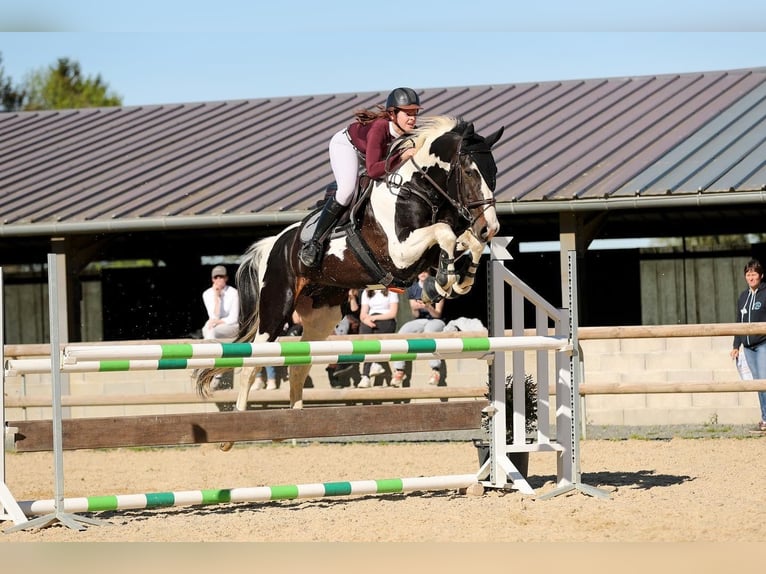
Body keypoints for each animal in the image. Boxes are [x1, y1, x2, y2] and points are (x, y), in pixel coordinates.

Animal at [196, 115, 504, 452]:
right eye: (469, 171)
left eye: (494, 172)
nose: (491, 227)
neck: (417, 192)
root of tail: (273, 245)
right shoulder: (399, 253)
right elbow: (445, 234)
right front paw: (442, 282)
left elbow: (465, 242)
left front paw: (456, 280)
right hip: (275, 311)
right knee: (251, 365)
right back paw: (234, 432)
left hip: (322, 316)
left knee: (299, 365)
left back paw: (294, 425)